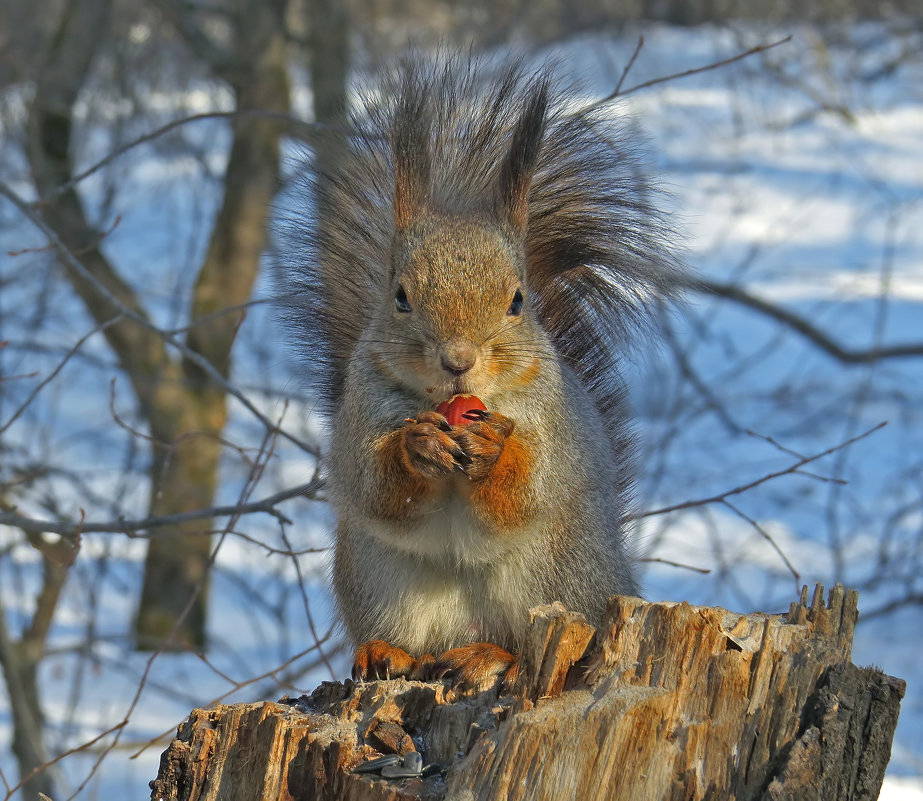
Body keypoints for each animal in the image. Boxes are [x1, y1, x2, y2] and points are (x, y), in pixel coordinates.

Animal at [276, 54, 680, 688]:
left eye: (518, 301)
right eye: (399, 296)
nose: (458, 360)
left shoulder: (552, 424)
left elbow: (525, 489)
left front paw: (493, 449)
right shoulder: (362, 407)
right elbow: (374, 485)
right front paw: (416, 445)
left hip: (553, 575)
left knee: (525, 634)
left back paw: (494, 656)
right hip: (379, 576)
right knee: (409, 636)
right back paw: (387, 652)